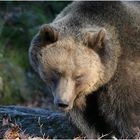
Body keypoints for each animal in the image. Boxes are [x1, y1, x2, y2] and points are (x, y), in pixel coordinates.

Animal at [28, 1, 140, 139]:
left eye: (78, 76)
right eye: (57, 72)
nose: (62, 102)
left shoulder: (126, 69)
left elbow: (126, 107)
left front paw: (131, 133)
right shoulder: (79, 95)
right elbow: (85, 117)